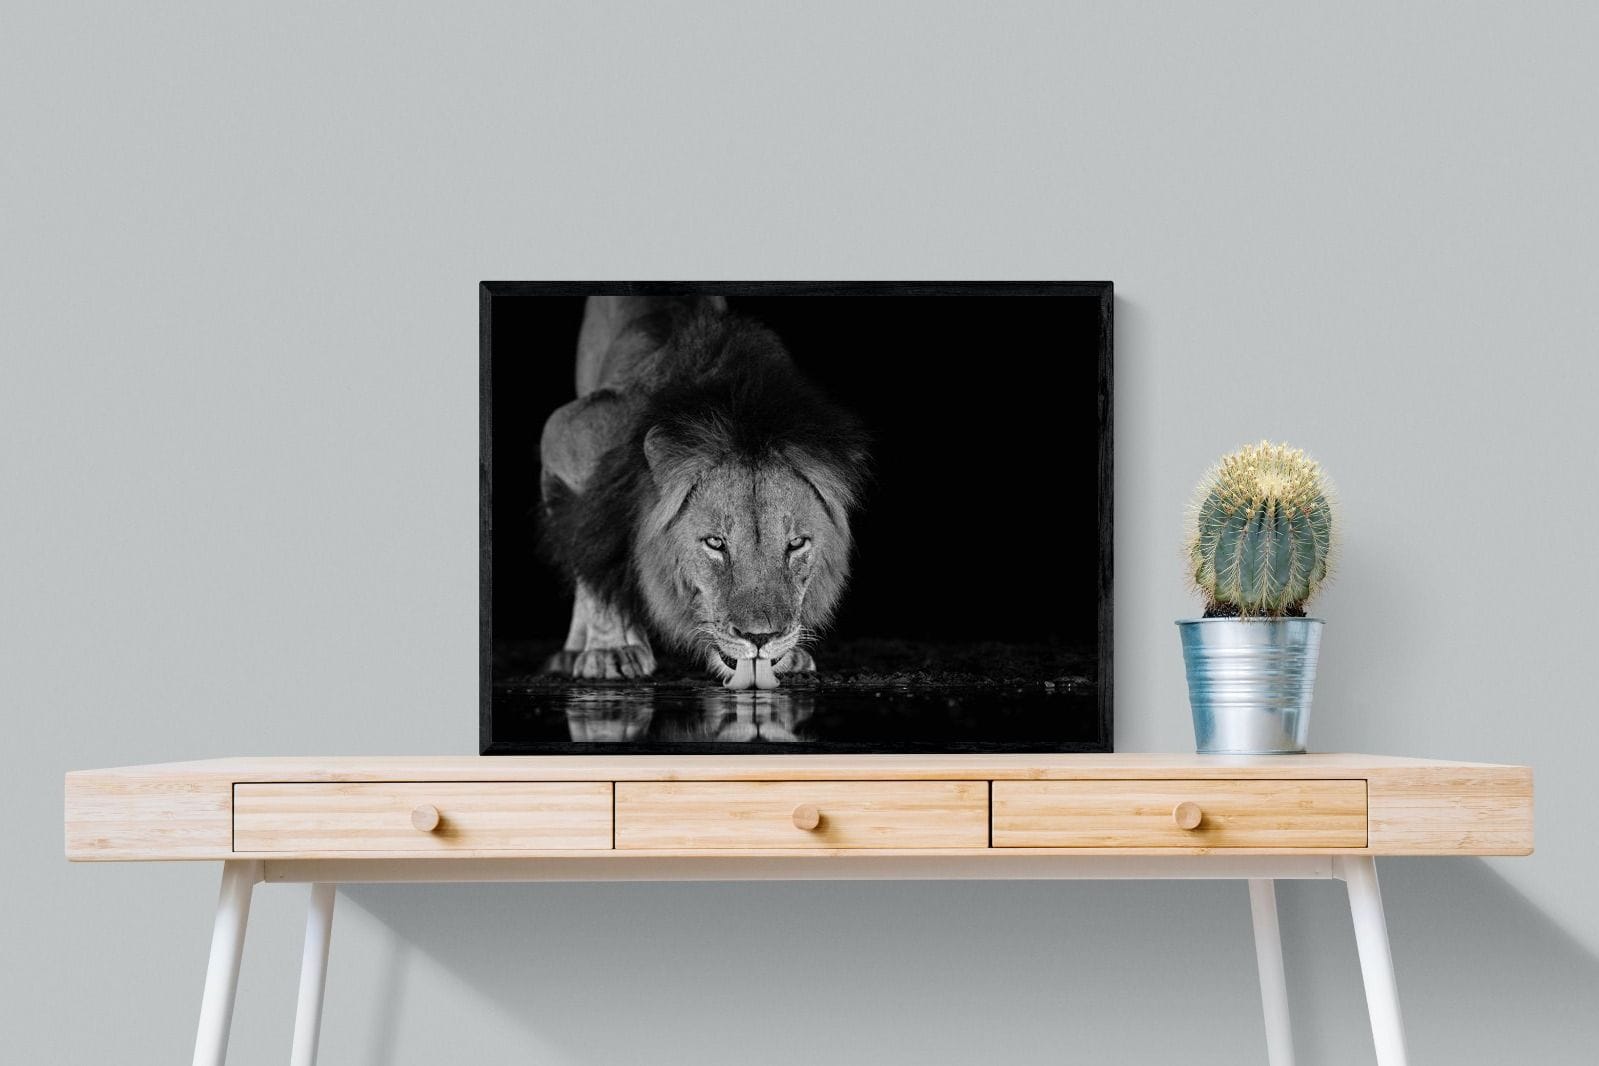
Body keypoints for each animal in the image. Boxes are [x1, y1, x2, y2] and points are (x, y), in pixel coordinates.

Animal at [537, 295, 869, 690]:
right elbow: (593, 548)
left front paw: (790, 656)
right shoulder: (567, 434)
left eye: (796, 544)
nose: (760, 638)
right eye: (715, 543)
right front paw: (610, 650)